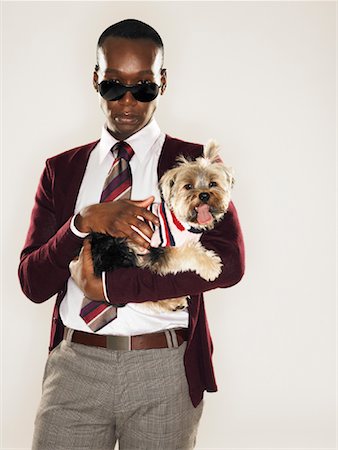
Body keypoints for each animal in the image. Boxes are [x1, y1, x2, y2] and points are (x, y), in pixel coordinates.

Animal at [88, 141, 234, 312]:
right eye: (188, 186)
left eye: (213, 183)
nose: (204, 195)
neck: (185, 222)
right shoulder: (164, 249)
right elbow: (189, 252)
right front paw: (211, 265)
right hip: (123, 254)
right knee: (133, 295)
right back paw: (173, 302)